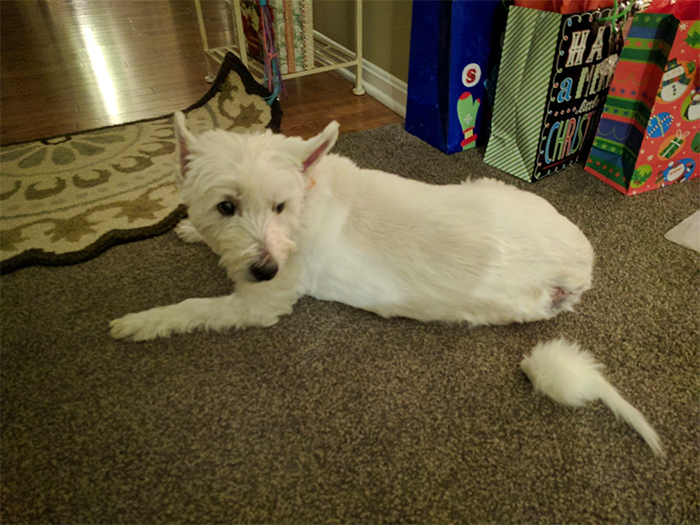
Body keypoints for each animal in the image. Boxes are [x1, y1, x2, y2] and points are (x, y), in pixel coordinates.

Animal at [108, 112, 592, 340]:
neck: (304, 201)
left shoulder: (260, 304)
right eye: (226, 207)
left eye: (279, 205)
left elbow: (195, 308)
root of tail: (580, 263)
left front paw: (141, 321)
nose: (266, 270)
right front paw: (193, 230)